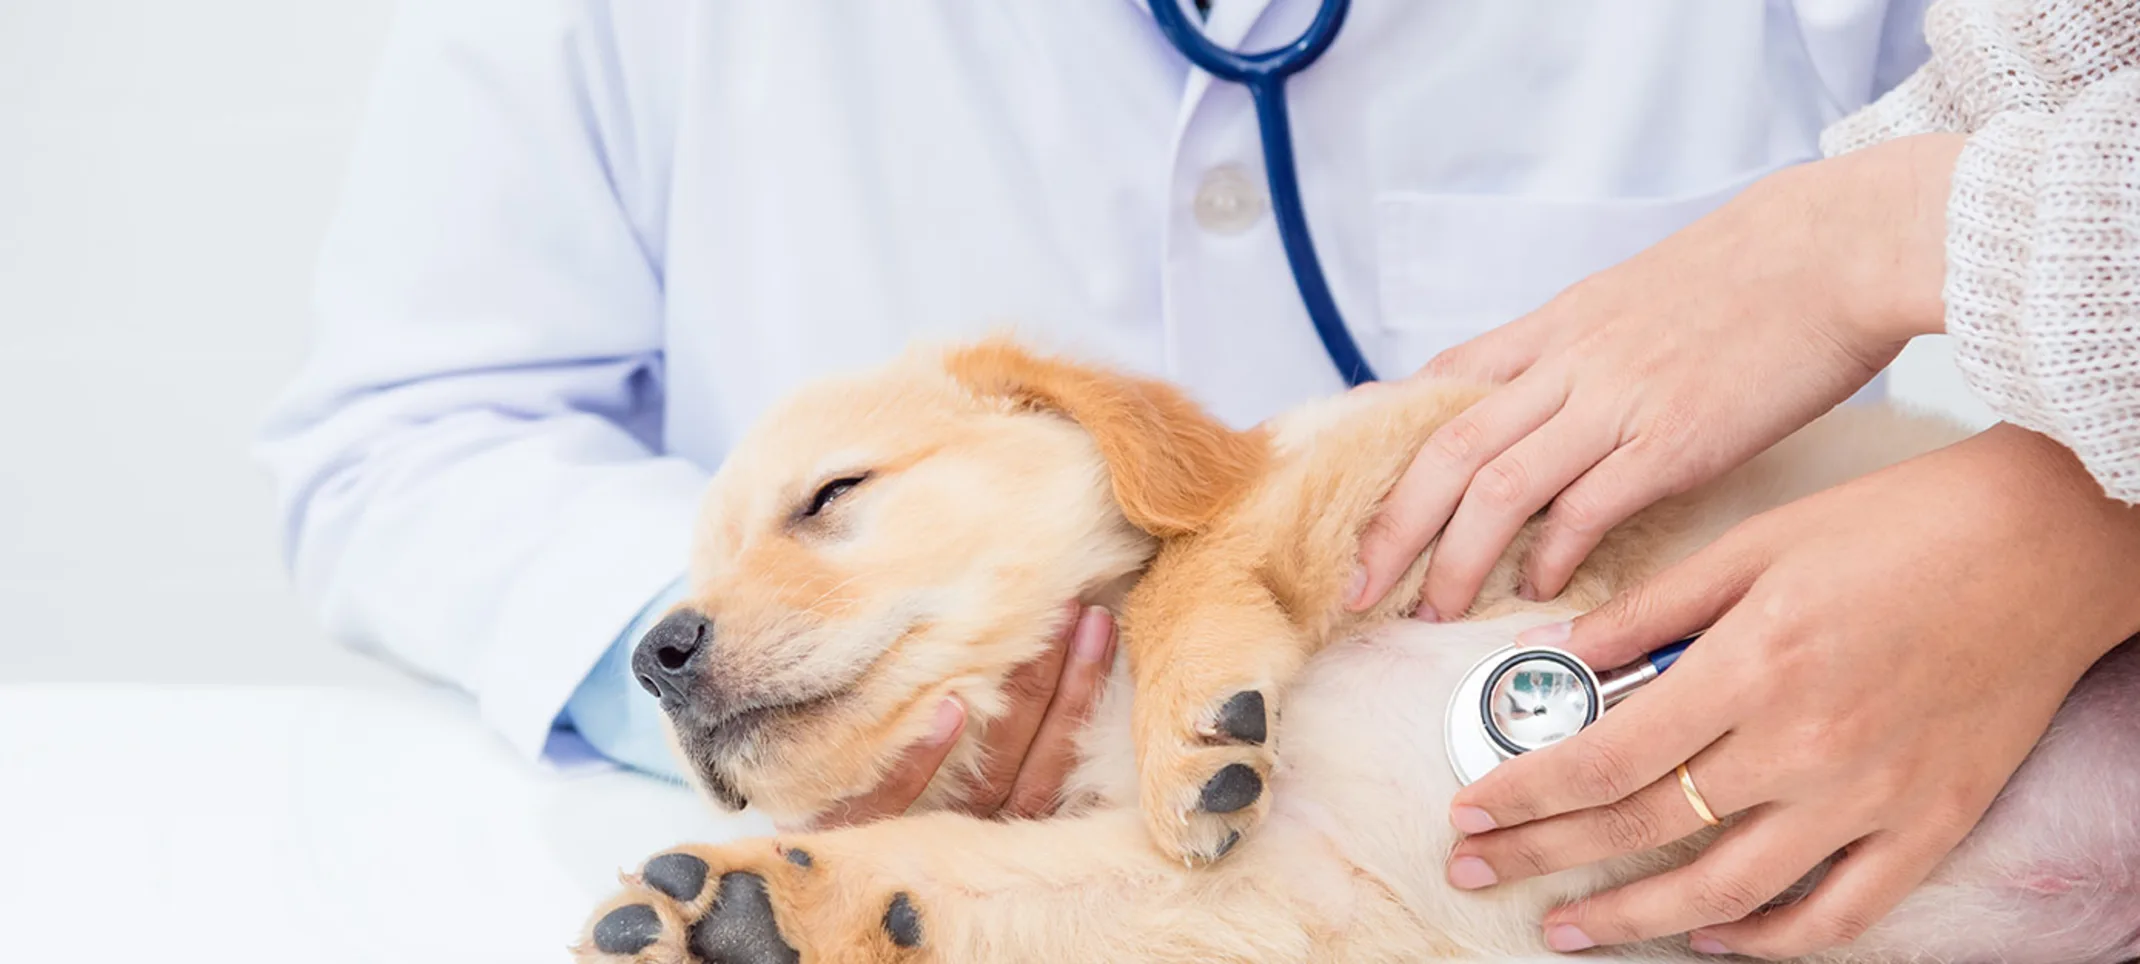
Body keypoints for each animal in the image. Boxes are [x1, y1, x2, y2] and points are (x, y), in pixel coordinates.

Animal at [569, 338, 2140, 964]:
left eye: (830, 497)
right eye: (695, 566)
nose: (654, 653)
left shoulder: (1453, 471)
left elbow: (1200, 550)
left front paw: (1197, 714)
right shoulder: (1284, 894)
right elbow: (973, 882)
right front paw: (759, 907)